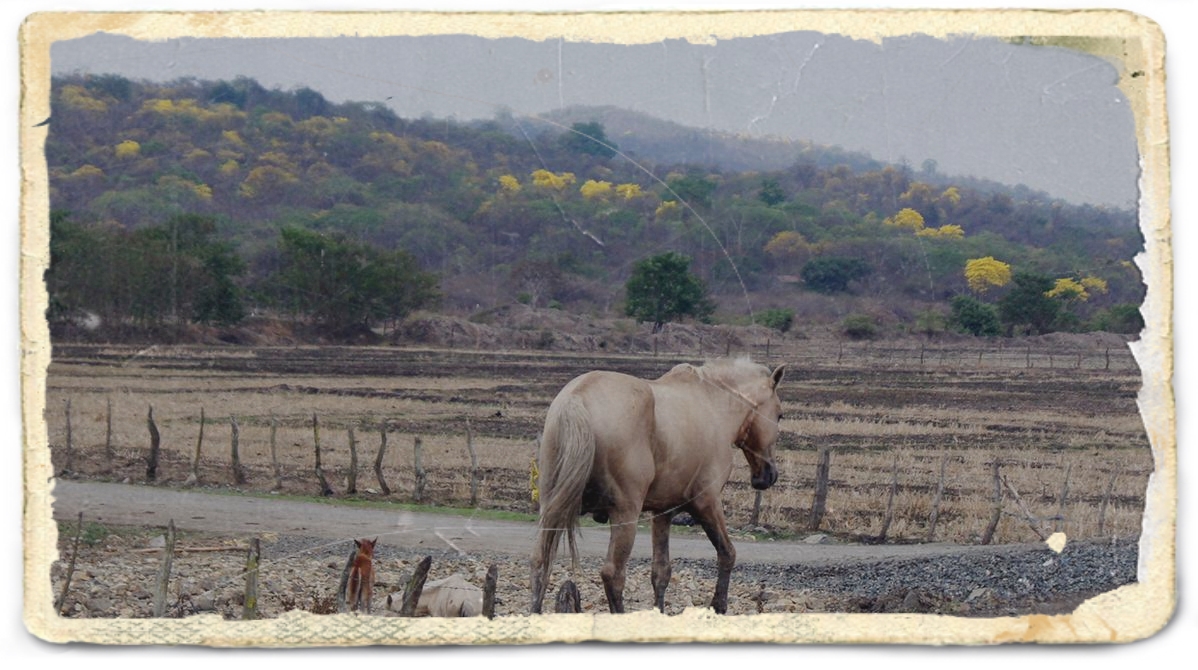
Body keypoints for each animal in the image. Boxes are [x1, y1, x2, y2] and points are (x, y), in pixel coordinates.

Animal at [529, 359, 781, 618]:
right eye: (780, 415)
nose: (768, 476)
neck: (712, 404)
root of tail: (576, 397)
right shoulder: (707, 502)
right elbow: (727, 553)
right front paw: (718, 606)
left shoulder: (663, 512)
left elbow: (661, 572)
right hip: (625, 514)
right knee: (612, 574)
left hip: (551, 507)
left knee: (541, 562)